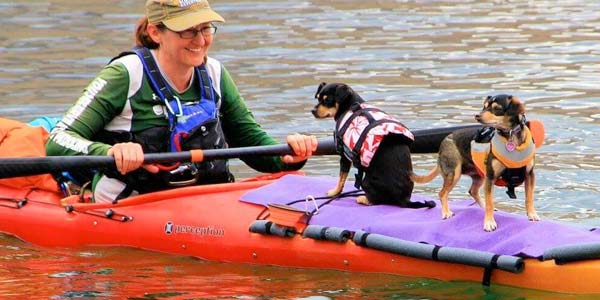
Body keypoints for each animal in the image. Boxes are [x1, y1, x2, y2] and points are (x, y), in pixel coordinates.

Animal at [412, 95, 540, 231]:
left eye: (496, 108)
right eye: (484, 106)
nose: (477, 115)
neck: (510, 137)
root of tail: (446, 139)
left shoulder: (529, 175)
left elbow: (529, 197)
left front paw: (532, 214)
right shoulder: (490, 177)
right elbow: (490, 202)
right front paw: (489, 222)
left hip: (479, 176)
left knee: (472, 191)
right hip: (454, 173)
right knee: (442, 193)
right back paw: (446, 212)